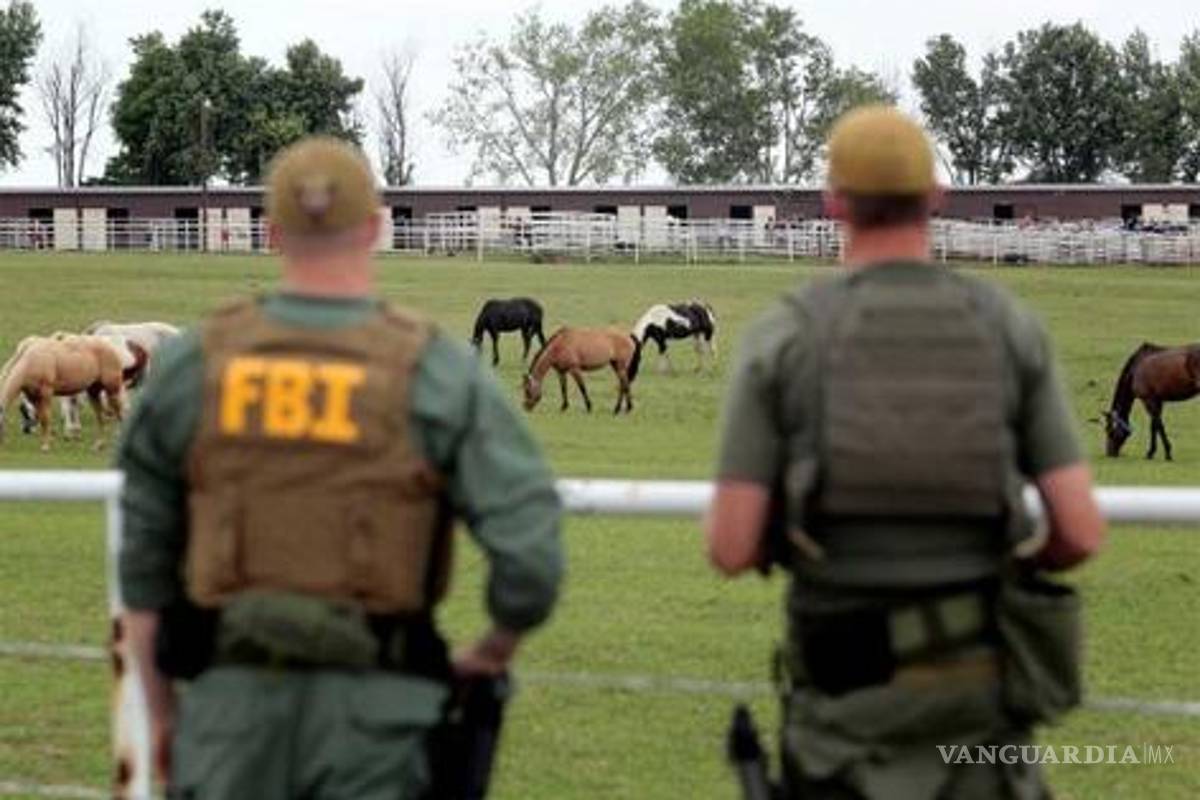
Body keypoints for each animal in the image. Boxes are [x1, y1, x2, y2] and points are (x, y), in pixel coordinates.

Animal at [1, 335, 129, 451]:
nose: (25, 430)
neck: (33, 361)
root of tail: (111, 348)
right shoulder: (33, 396)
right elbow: (41, 417)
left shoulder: (46, 393)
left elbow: (45, 418)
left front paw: (46, 446)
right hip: (93, 392)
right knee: (100, 417)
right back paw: (98, 445)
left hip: (112, 390)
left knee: (120, 412)